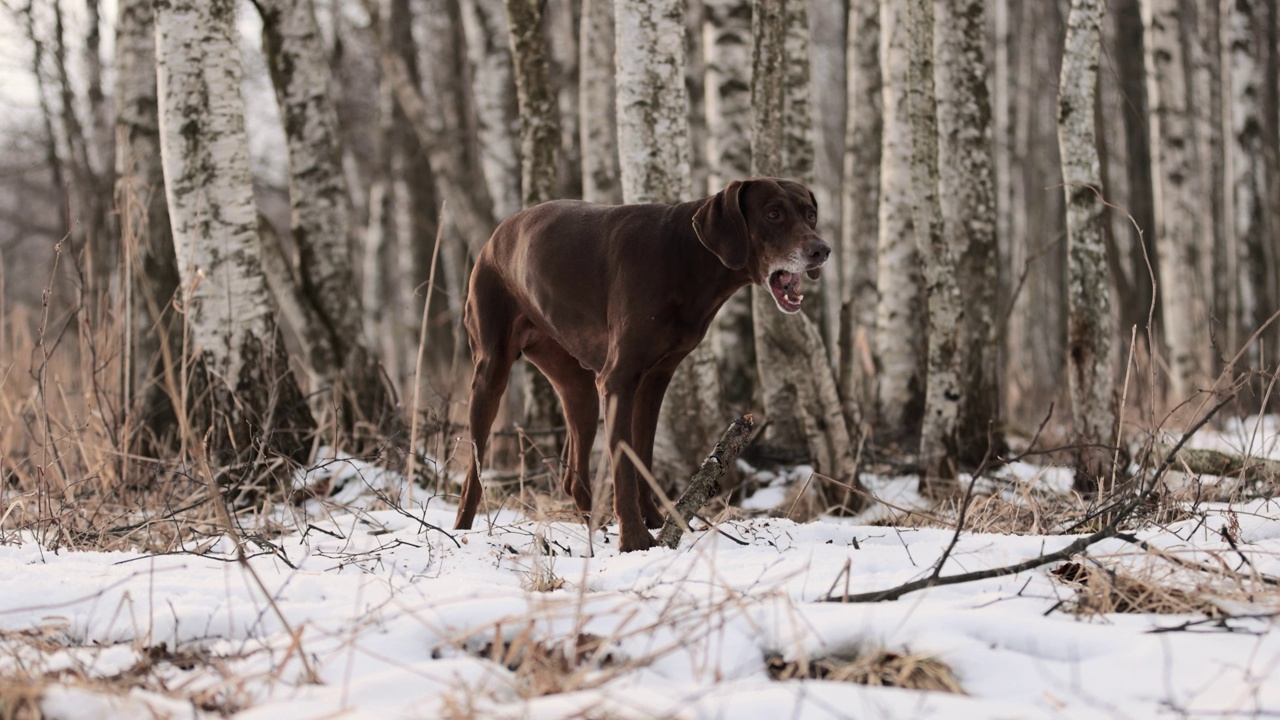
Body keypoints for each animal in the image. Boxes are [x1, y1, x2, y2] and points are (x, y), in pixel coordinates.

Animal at [450, 178, 829, 548]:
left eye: (810, 214)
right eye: (773, 213)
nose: (821, 250)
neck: (687, 258)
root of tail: (494, 237)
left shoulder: (654, 380)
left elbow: (642, 456)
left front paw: (656, 523)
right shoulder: (618, 379)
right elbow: (623, 464)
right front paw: (634, 539)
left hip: (578, 388)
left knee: (574, 471)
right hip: (490, 372)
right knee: (473, 476)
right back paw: (463, 532)